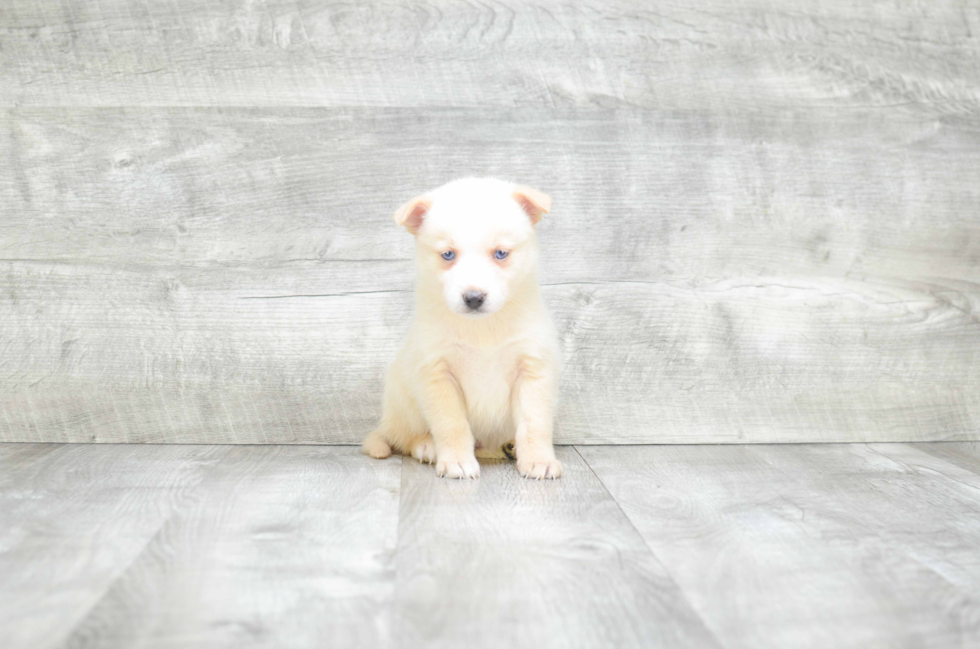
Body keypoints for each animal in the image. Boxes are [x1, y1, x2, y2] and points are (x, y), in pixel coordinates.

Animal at [362, 175, 564, 478]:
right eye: (448, 254)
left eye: (501, 253)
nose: (474, 298)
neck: (482, 330)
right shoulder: (438, 374)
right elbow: (452, 424)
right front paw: (456, 461)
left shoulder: (532, 370)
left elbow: (534, 423)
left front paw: (539, 460)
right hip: (402, 401)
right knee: (406, 438)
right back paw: (427, 447)